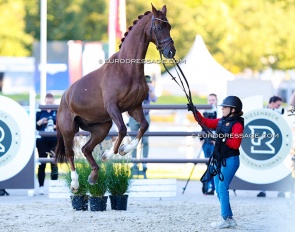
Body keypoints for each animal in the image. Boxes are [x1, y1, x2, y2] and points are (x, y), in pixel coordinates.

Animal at [55, 4, 176, 192]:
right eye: (157, 27)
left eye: (169, 26)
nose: (171, 52)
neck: (126, 70)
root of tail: (63, 98)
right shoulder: (113, 108)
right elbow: (123, 130)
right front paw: (110, 154)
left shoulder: (134, 107)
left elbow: (143, 125)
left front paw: (124, 149)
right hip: (69, 130)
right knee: (71, 153)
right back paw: (75, 183)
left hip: (101, 128)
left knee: (86, 149)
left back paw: (93, 176)